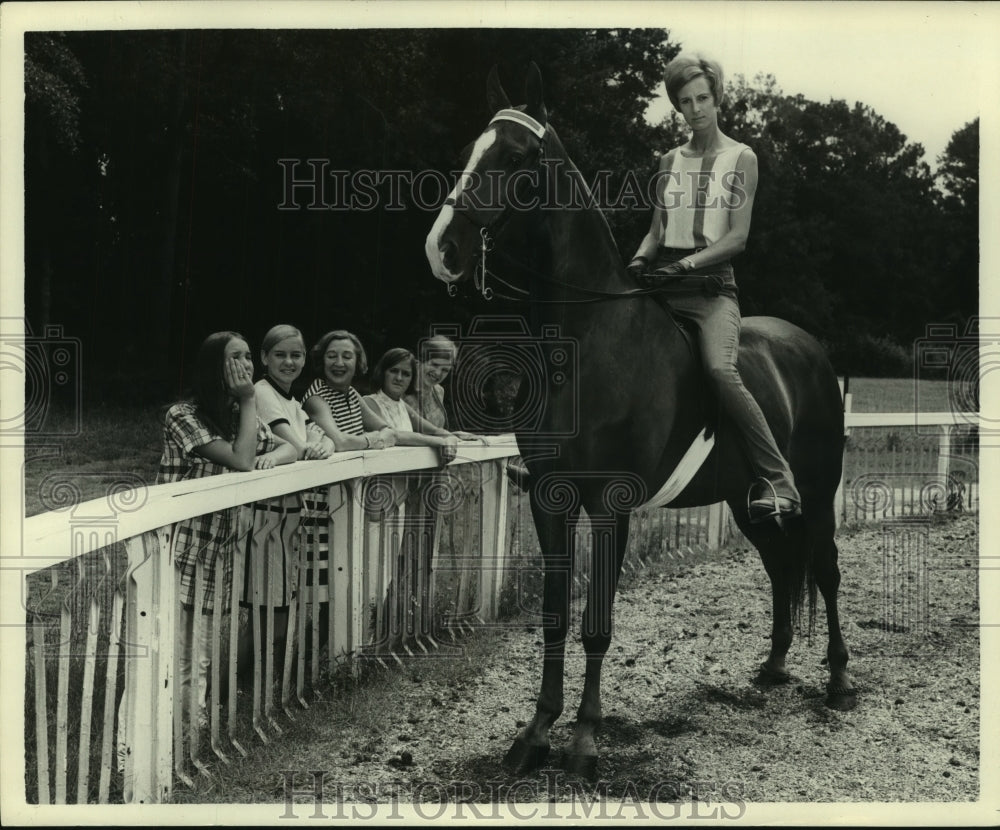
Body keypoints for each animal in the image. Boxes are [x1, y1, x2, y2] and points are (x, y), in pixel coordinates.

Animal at [424, 60, 860, 780]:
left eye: (515, 159)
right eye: (466, 153)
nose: (443, 250)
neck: (589, 343)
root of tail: (812, 350)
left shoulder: (610, 504)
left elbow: (597, 622)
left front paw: (584, 741)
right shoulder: (549, 499)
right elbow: (554, 617)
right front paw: (534, 734)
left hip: (818, 492)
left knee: (823, 570)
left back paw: (840, 681)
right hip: (745, 501)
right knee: (778, 567)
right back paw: (772, 667)